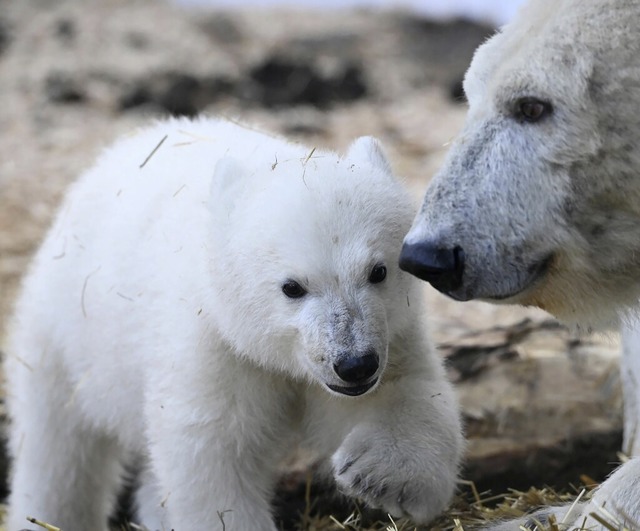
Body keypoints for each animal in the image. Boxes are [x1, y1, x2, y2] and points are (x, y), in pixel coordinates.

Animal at [6, 118, 464, 531]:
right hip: (63, 333)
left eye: (378, 271)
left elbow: (409, 389)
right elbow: (212, 454)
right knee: (56, 449)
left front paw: (378, 476)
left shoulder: (393, 335)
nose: (353, 364)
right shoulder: (215, 345)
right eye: (292, 287)